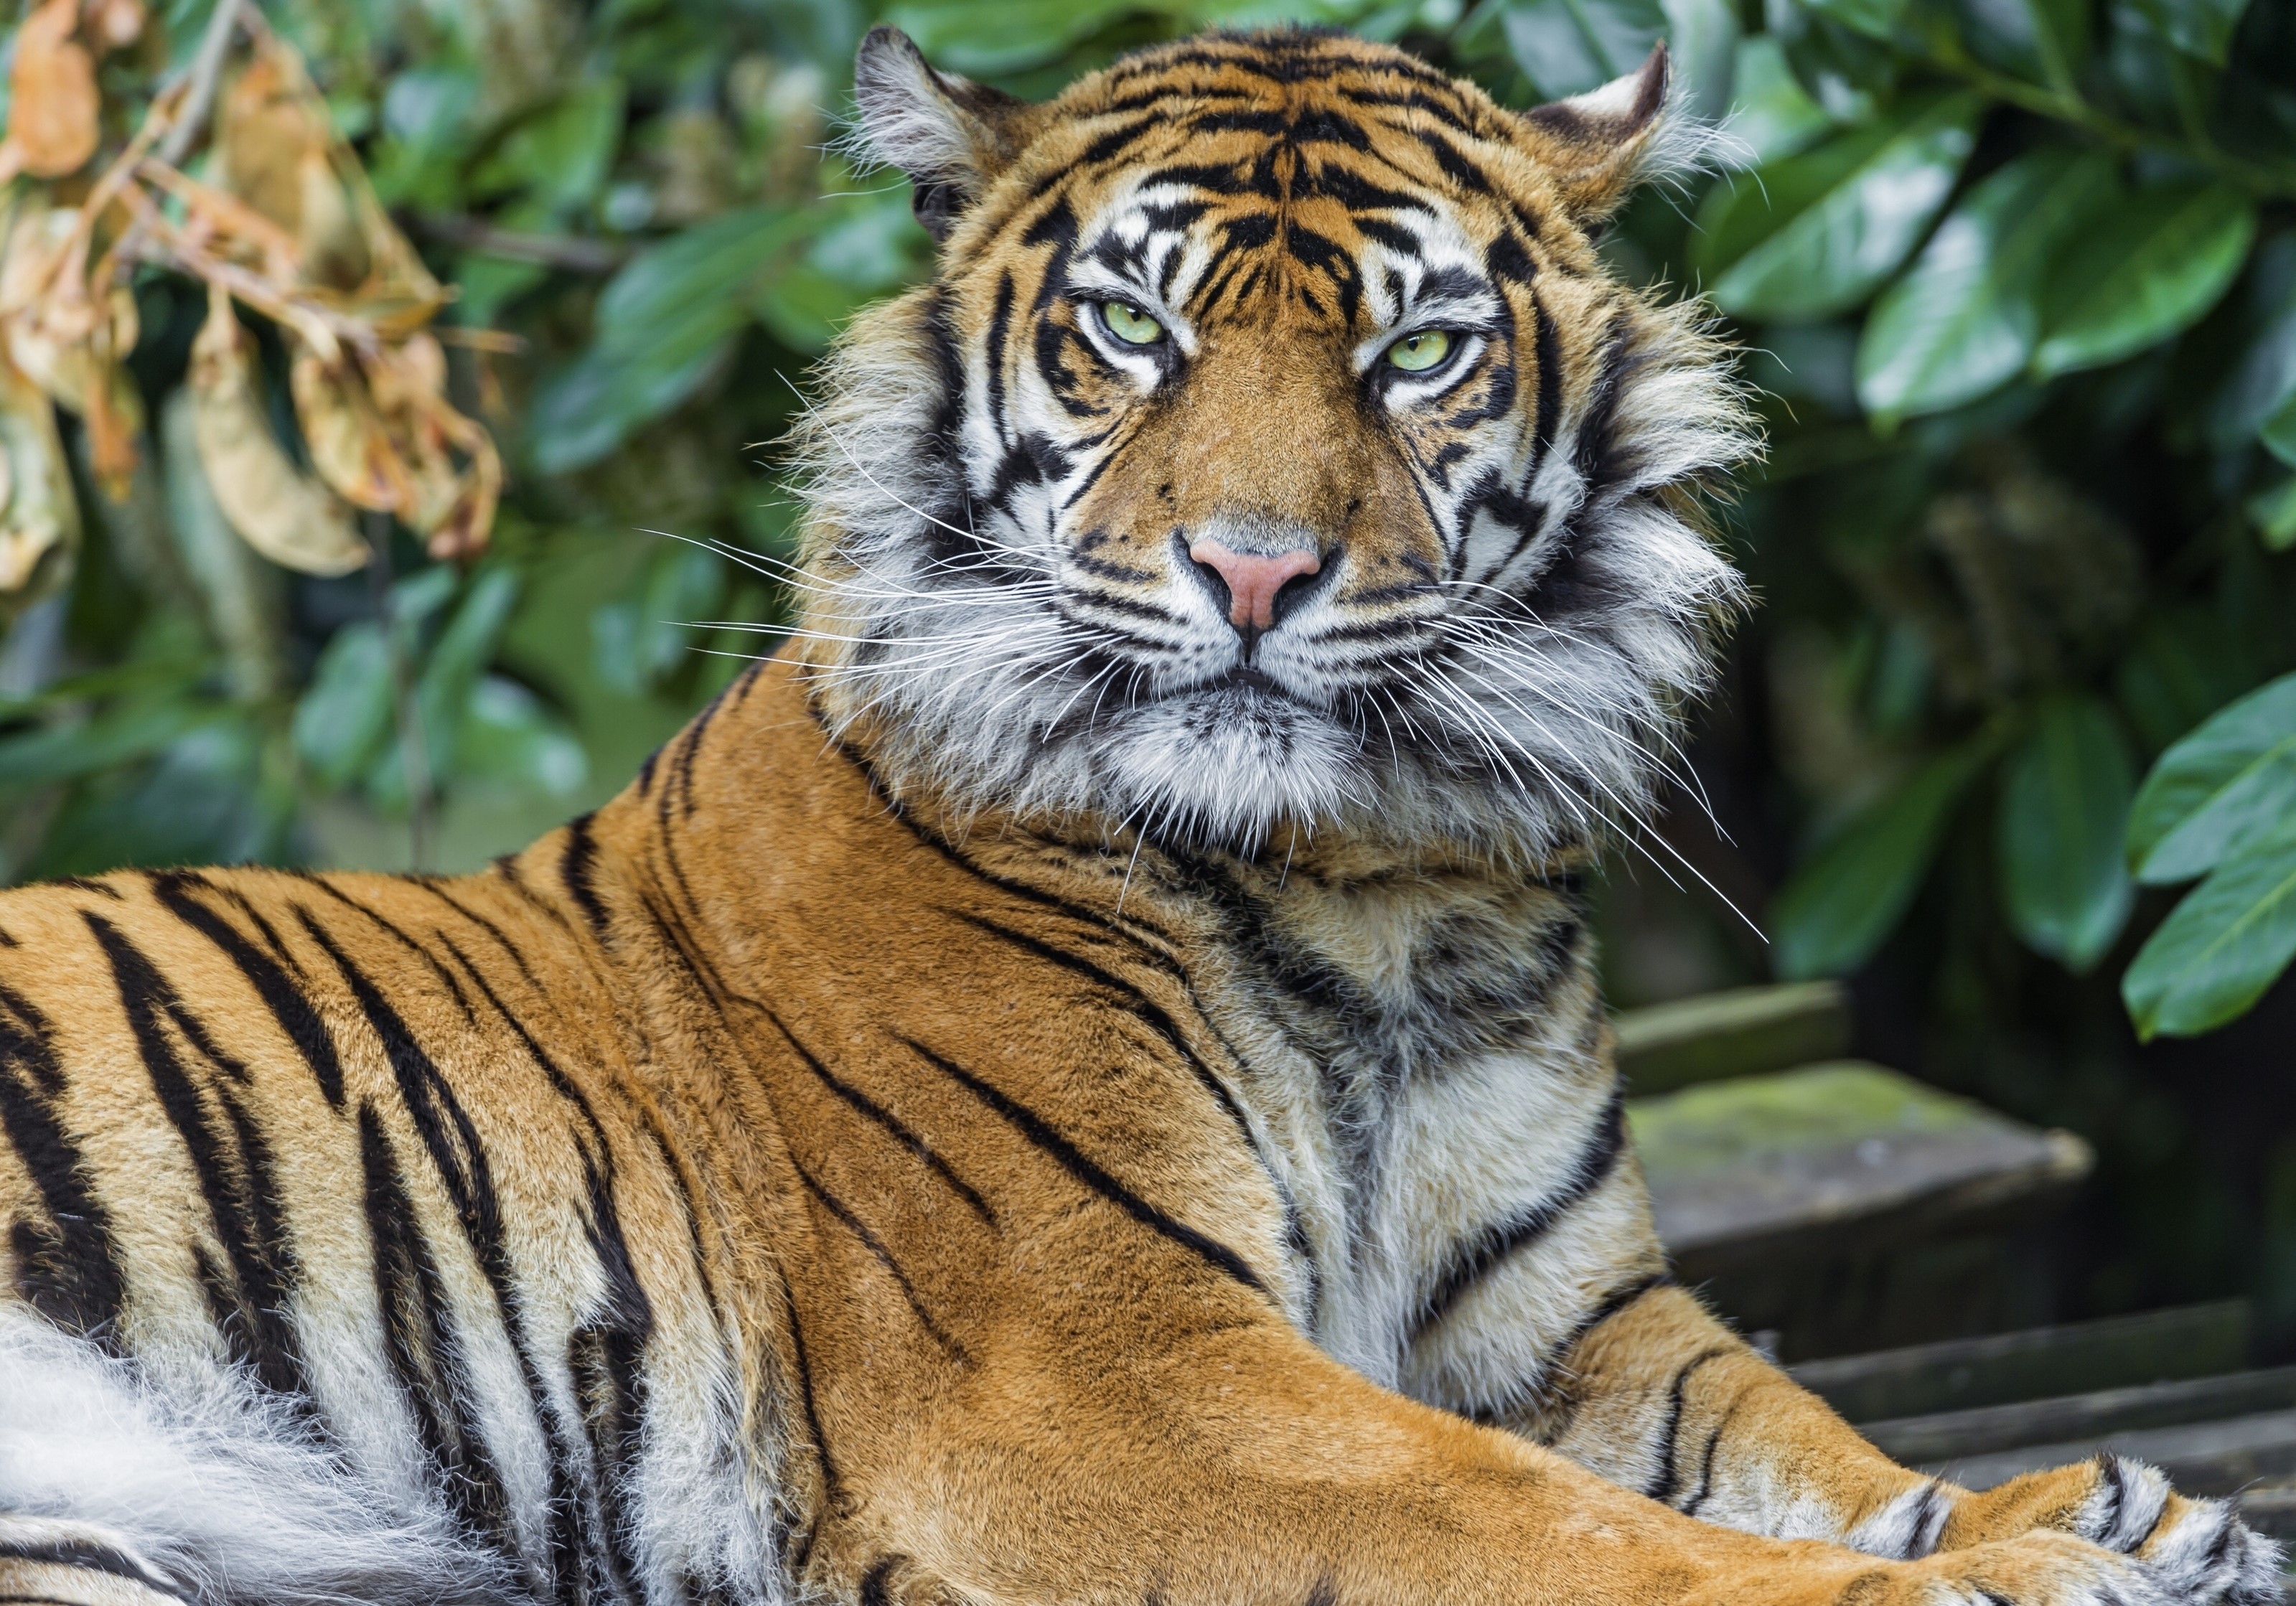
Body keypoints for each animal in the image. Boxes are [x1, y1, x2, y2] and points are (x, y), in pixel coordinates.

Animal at [0, 22, 2278, 1606]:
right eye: (1127, 331)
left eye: (1418, 350)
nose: (1255, 570)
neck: (1379, 879)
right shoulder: (1111, 1364)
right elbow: (1565, 1531)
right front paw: (2018, 1564)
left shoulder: (1569, 1317)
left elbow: (1791, 1425)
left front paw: (2089, 1501)